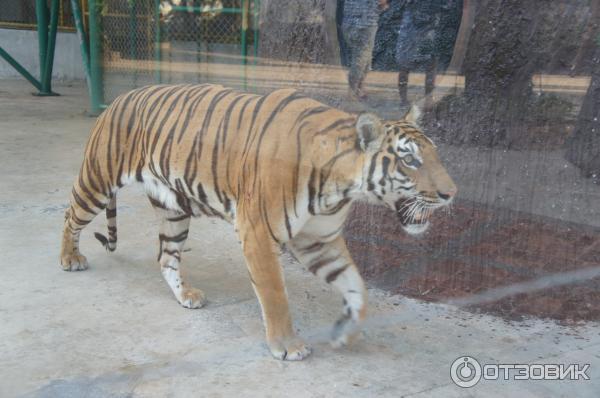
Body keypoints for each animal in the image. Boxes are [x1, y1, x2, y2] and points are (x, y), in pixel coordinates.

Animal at [59, 84, 454, 360]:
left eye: (434, 154)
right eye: (410, 161)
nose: (452, 194)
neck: (342, 185)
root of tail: (120, 97)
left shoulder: (319, 241)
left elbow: (357, 286)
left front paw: (347, 333)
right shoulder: (258, 232)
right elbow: (275, 294)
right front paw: (288, 346)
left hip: (174, 210)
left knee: (166, 256)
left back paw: (186, 295)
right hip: (97, 180)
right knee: (70, 214)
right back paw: (70, 259)